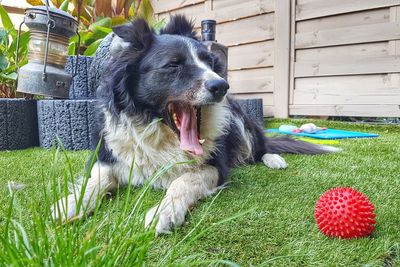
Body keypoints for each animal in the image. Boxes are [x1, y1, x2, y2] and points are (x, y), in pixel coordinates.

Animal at [52, 16, 340, 234]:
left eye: (209, 62)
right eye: (173, 65)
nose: (222, 86)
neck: (160, 134)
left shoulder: (215, 166)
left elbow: (183, 181)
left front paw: (164, 212)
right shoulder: (108, 156)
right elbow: (95, 180)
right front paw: (69, 204)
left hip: (240, 121)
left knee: (260, 148)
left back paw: (273, 159)